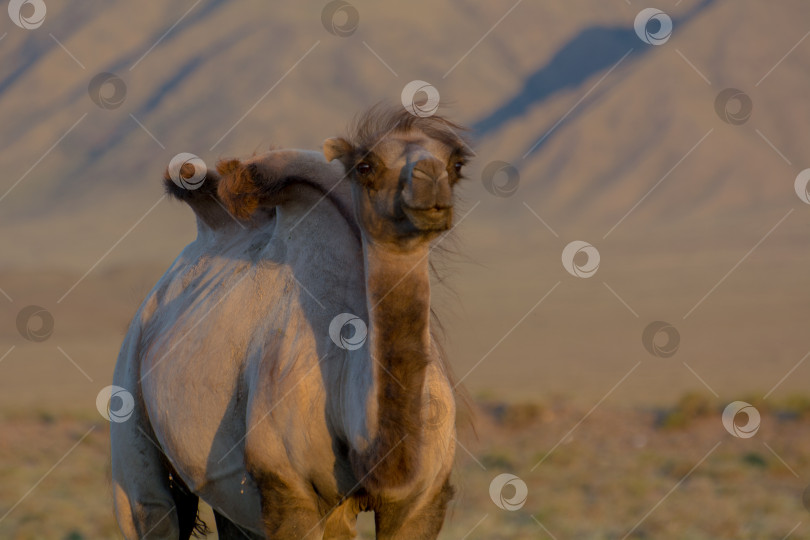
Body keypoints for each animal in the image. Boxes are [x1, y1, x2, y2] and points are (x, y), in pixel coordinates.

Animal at [110, 104, 470, 536]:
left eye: (457, 164)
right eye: (366, 166)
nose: (430, 182)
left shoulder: (423, 499)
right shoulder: (288, 488)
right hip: (130, 404)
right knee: (150, 506)